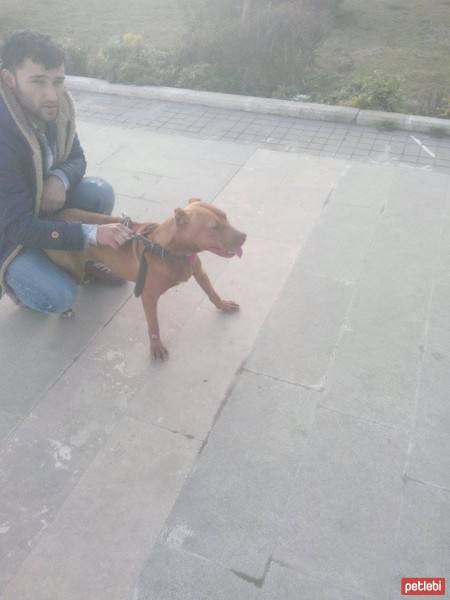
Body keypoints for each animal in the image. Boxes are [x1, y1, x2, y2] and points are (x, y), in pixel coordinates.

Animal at [46, 199, 246, 358]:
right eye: (214, 227)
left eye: (225, 217)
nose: (244, 236)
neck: (169, 250)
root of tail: (53, 217)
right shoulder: (148, 296)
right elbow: (153, 325)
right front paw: (156, 347)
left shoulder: (200, 273)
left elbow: (212, 292)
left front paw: (223, 305)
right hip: (72, 268)